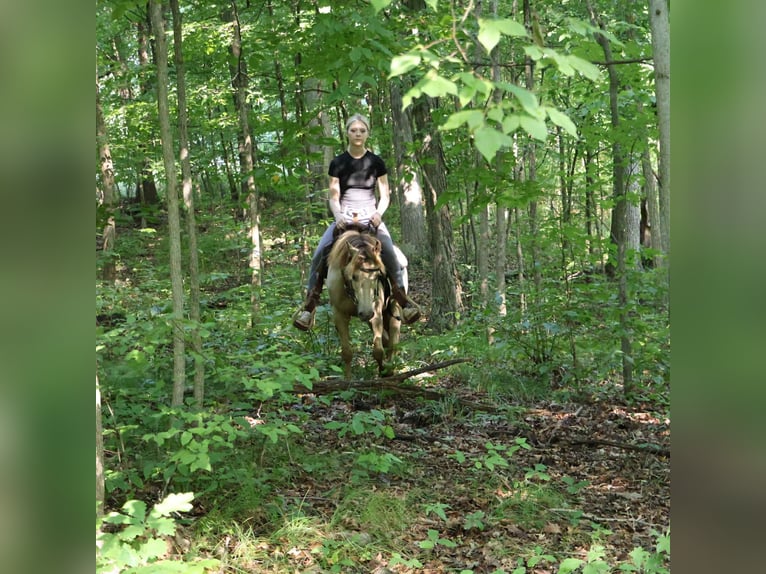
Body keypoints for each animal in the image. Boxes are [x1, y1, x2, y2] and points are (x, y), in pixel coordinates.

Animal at [325, 228, 403, 379]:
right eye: (354, 276)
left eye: (378, 275)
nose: (366, 312)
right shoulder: (339, 314)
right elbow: (347, 353)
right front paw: (348, 380)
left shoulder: (376, 313)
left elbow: (378, 350)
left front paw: (384, 372)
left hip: (393, 307)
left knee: (393, 339)